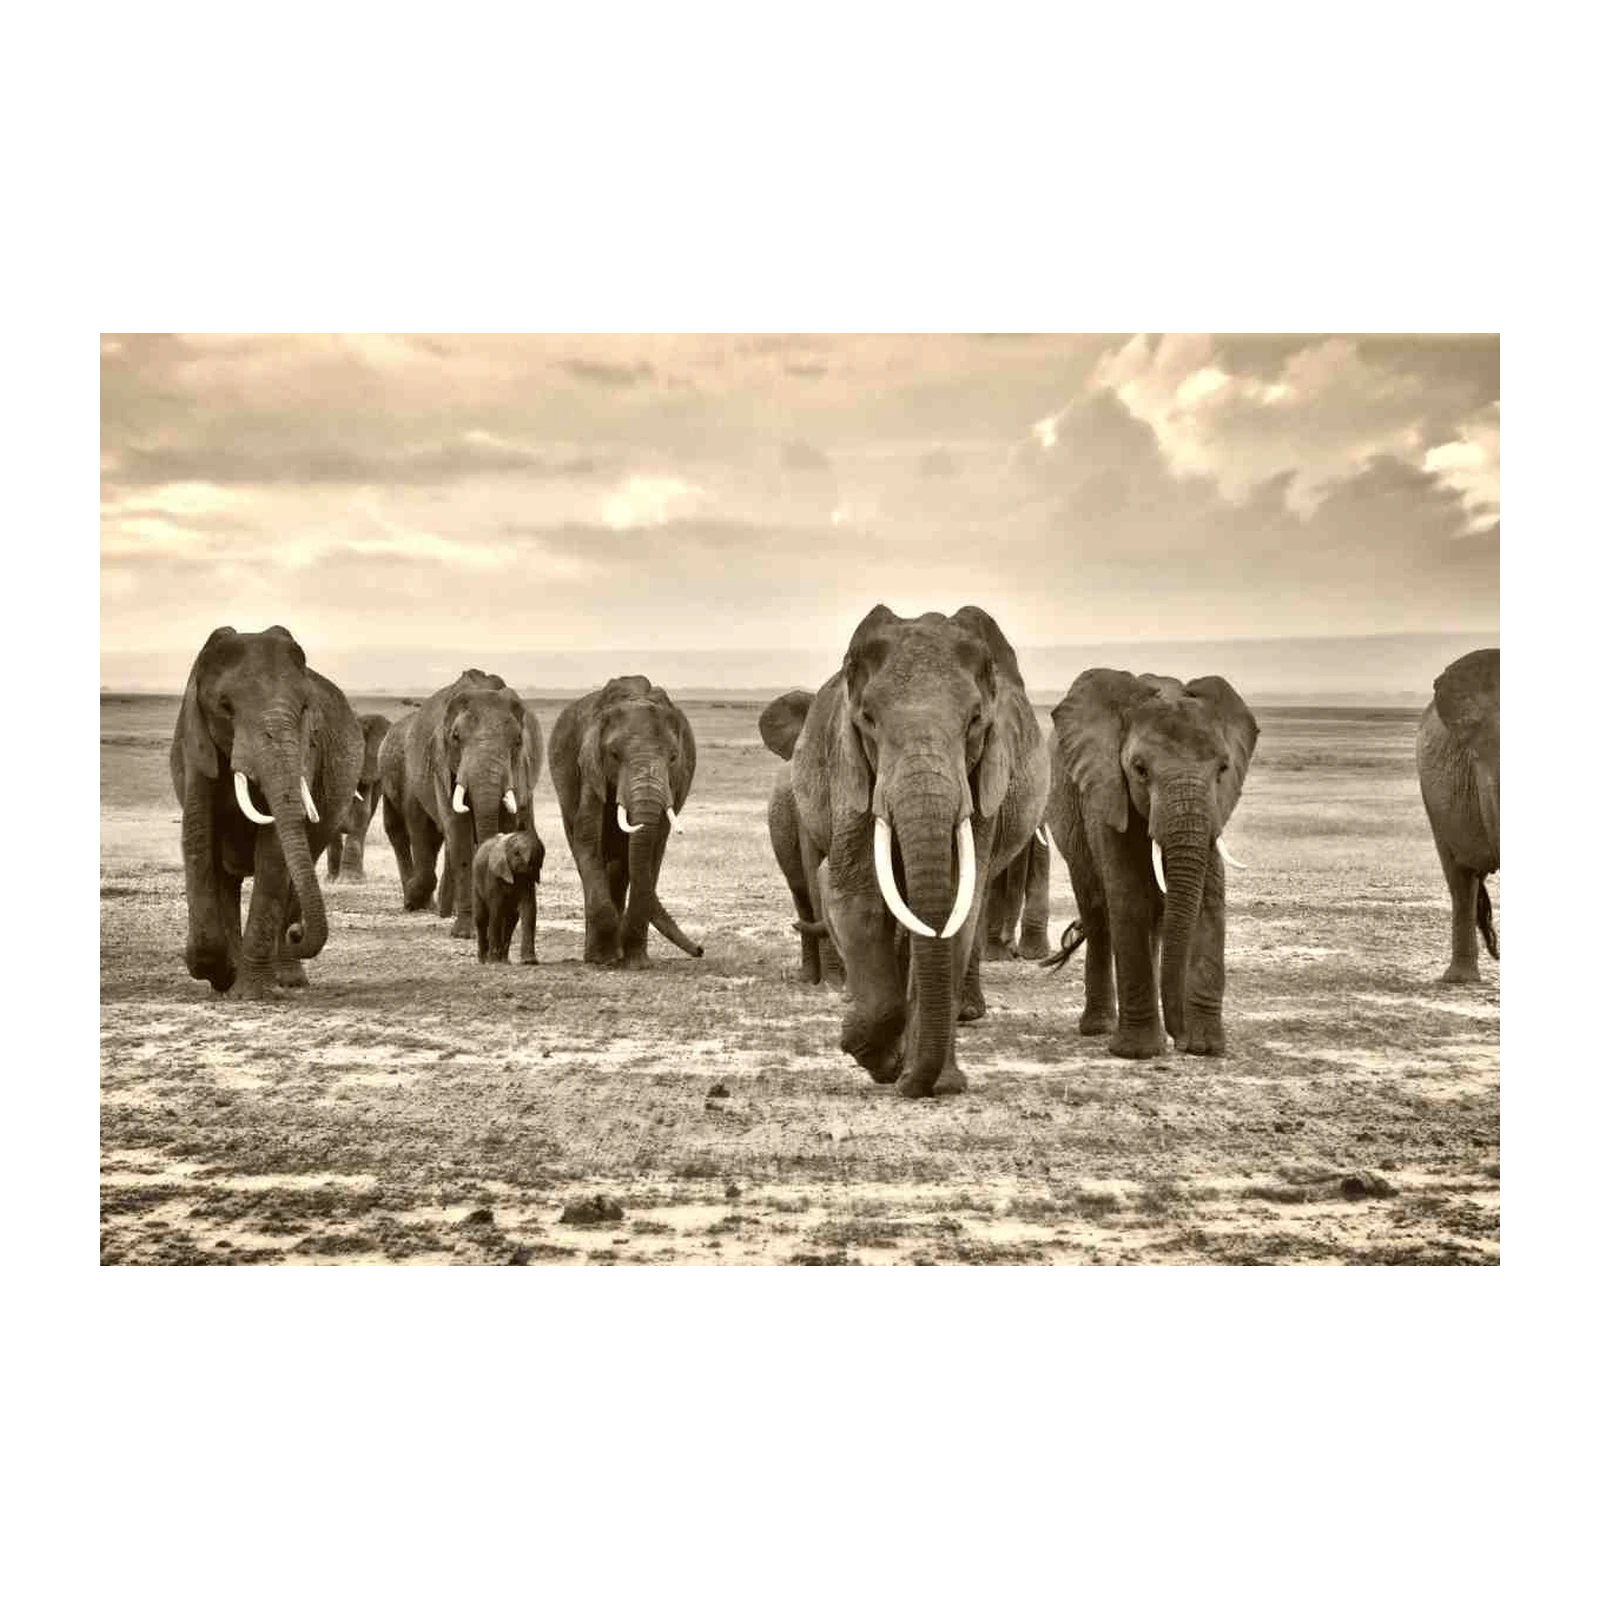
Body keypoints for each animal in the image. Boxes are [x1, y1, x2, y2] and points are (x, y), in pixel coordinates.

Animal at [169, 625, 364, 1000]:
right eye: (225, 707)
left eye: (305, 707)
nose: (297, 933)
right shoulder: (195, 746)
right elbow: (198, 838)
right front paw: (217, 973)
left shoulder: (304, 752)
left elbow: (273, 853)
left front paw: (249, 992)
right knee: (227, 877)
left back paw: (286, 977)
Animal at [378, 669, 544, 950]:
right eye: (455, 738)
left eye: (518, 741)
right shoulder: (442, 767)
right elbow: (459, 834)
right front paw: (465, 933)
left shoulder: (518, 772)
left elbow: (505, 827)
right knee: (407, 833)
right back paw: (420, 900)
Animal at [471, 830, 546, 964]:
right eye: (516, 853)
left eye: (540, 853)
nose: (530, 863)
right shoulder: (494, 876)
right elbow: (496, 911)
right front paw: (494, 962)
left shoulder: (528, 880)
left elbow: (529, 909)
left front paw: (529, 961)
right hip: (476, 881)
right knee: (481, 918)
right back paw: (484, 960)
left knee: (511, 921)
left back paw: (504, 961)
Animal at [548, 675, 704, 969]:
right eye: (614, 755)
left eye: (673, 757)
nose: (700, 949)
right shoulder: (590, 768)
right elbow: (588, 837)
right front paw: (603, 960)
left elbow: (654, 847)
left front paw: (636, 963)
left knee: (622, 866)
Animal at [1044, 668, 1258, 1060]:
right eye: (1140, 769)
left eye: (1223, 768)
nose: (1180, 1037)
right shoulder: (1107, 793)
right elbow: (1127, 899)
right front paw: (1139, 1051)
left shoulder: (1214, 809)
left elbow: (1209, 901)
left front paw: (1205, 1048)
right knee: (1098, 913)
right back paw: (1098, 1027)